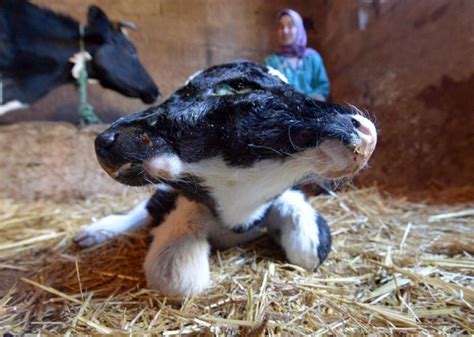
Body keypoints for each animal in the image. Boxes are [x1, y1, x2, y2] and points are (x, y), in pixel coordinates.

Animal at [75, 61, 378, 296]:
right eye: (239, 86)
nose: (366, 130)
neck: (239, 211)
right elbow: (178, 279)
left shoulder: (286, 198)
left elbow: (310, 249)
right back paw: (95, 232)